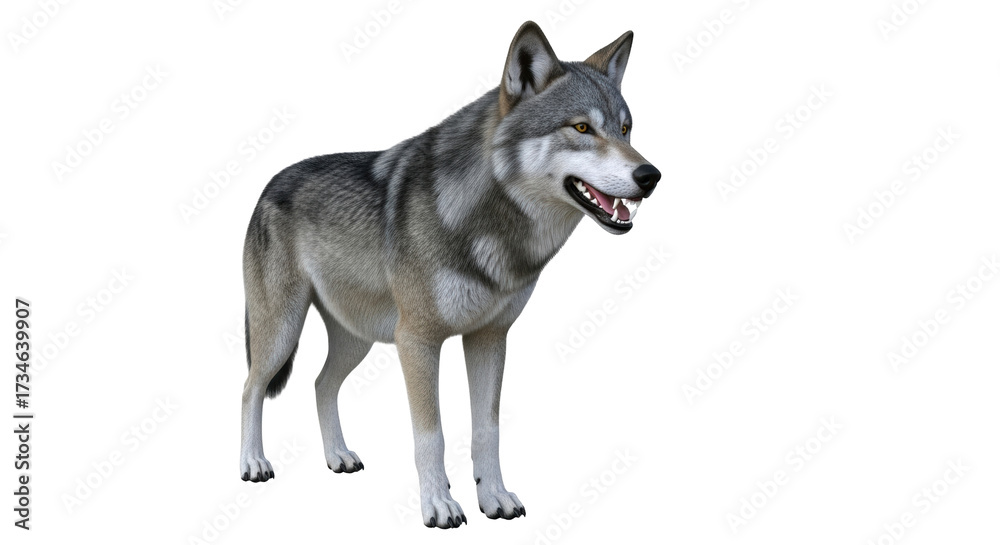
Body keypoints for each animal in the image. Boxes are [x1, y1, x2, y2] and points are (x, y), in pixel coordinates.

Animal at [239, 21, 661, 529]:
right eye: (582, 128)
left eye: (625, 129)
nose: (651, 176)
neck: (491, 230)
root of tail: (268, 185)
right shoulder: (417, 340)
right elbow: (431, 434)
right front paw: (439, 505)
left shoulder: (489, 338)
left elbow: (487, 430)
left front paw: (493, 497)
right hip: (283, 332)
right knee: (250, 388)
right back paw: (253, 464)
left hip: (357, 339)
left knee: (321, 384)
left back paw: (338, 457)